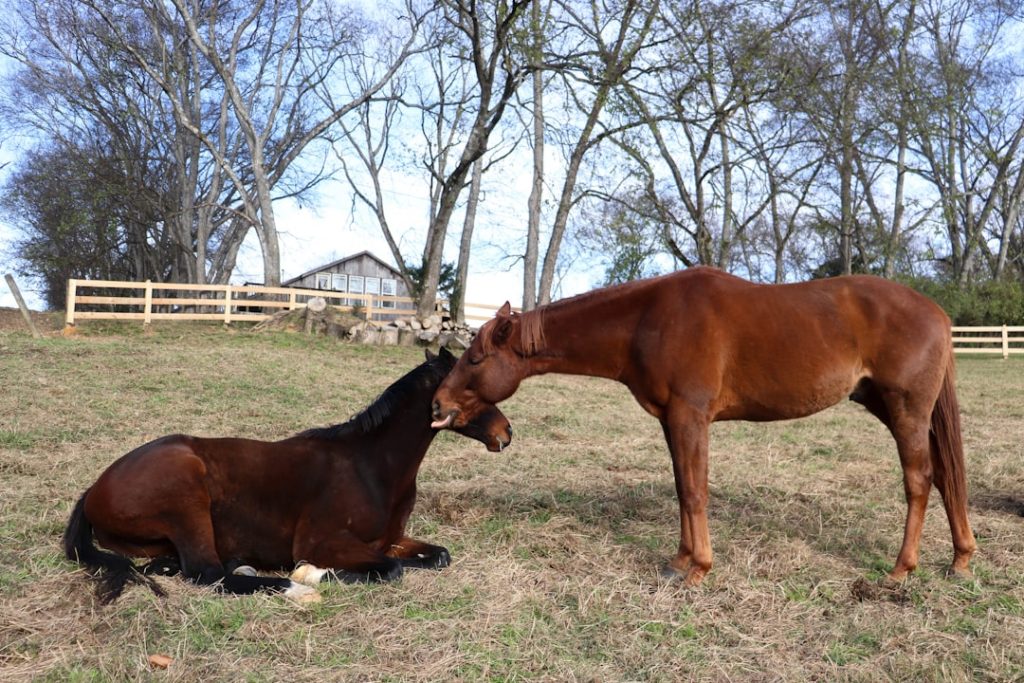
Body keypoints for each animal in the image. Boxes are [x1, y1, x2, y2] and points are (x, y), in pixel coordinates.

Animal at [64, 348, 512, 603]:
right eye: (471, 387)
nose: (506, 433)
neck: (371, 467)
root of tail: (94, 489)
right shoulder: (322, 542)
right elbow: (389, 569)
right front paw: (310, 574)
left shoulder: (390, 539)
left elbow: (436, 557)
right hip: (187, 497)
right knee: (207, 575)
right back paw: (293, 588)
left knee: (177, 567)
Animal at [430, 267, 976, 586]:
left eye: (475, 359)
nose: (437, 404)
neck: (647, 319)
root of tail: (937, 313)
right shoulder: (673, 421)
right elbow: (681, 487)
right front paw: (678, 561)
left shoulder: (690, 416)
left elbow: (695, 491)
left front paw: (699, 569)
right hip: (894, 408)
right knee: (948, 478)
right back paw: (960, 559)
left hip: (906, 413)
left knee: (920, 481)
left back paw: (901, 569)